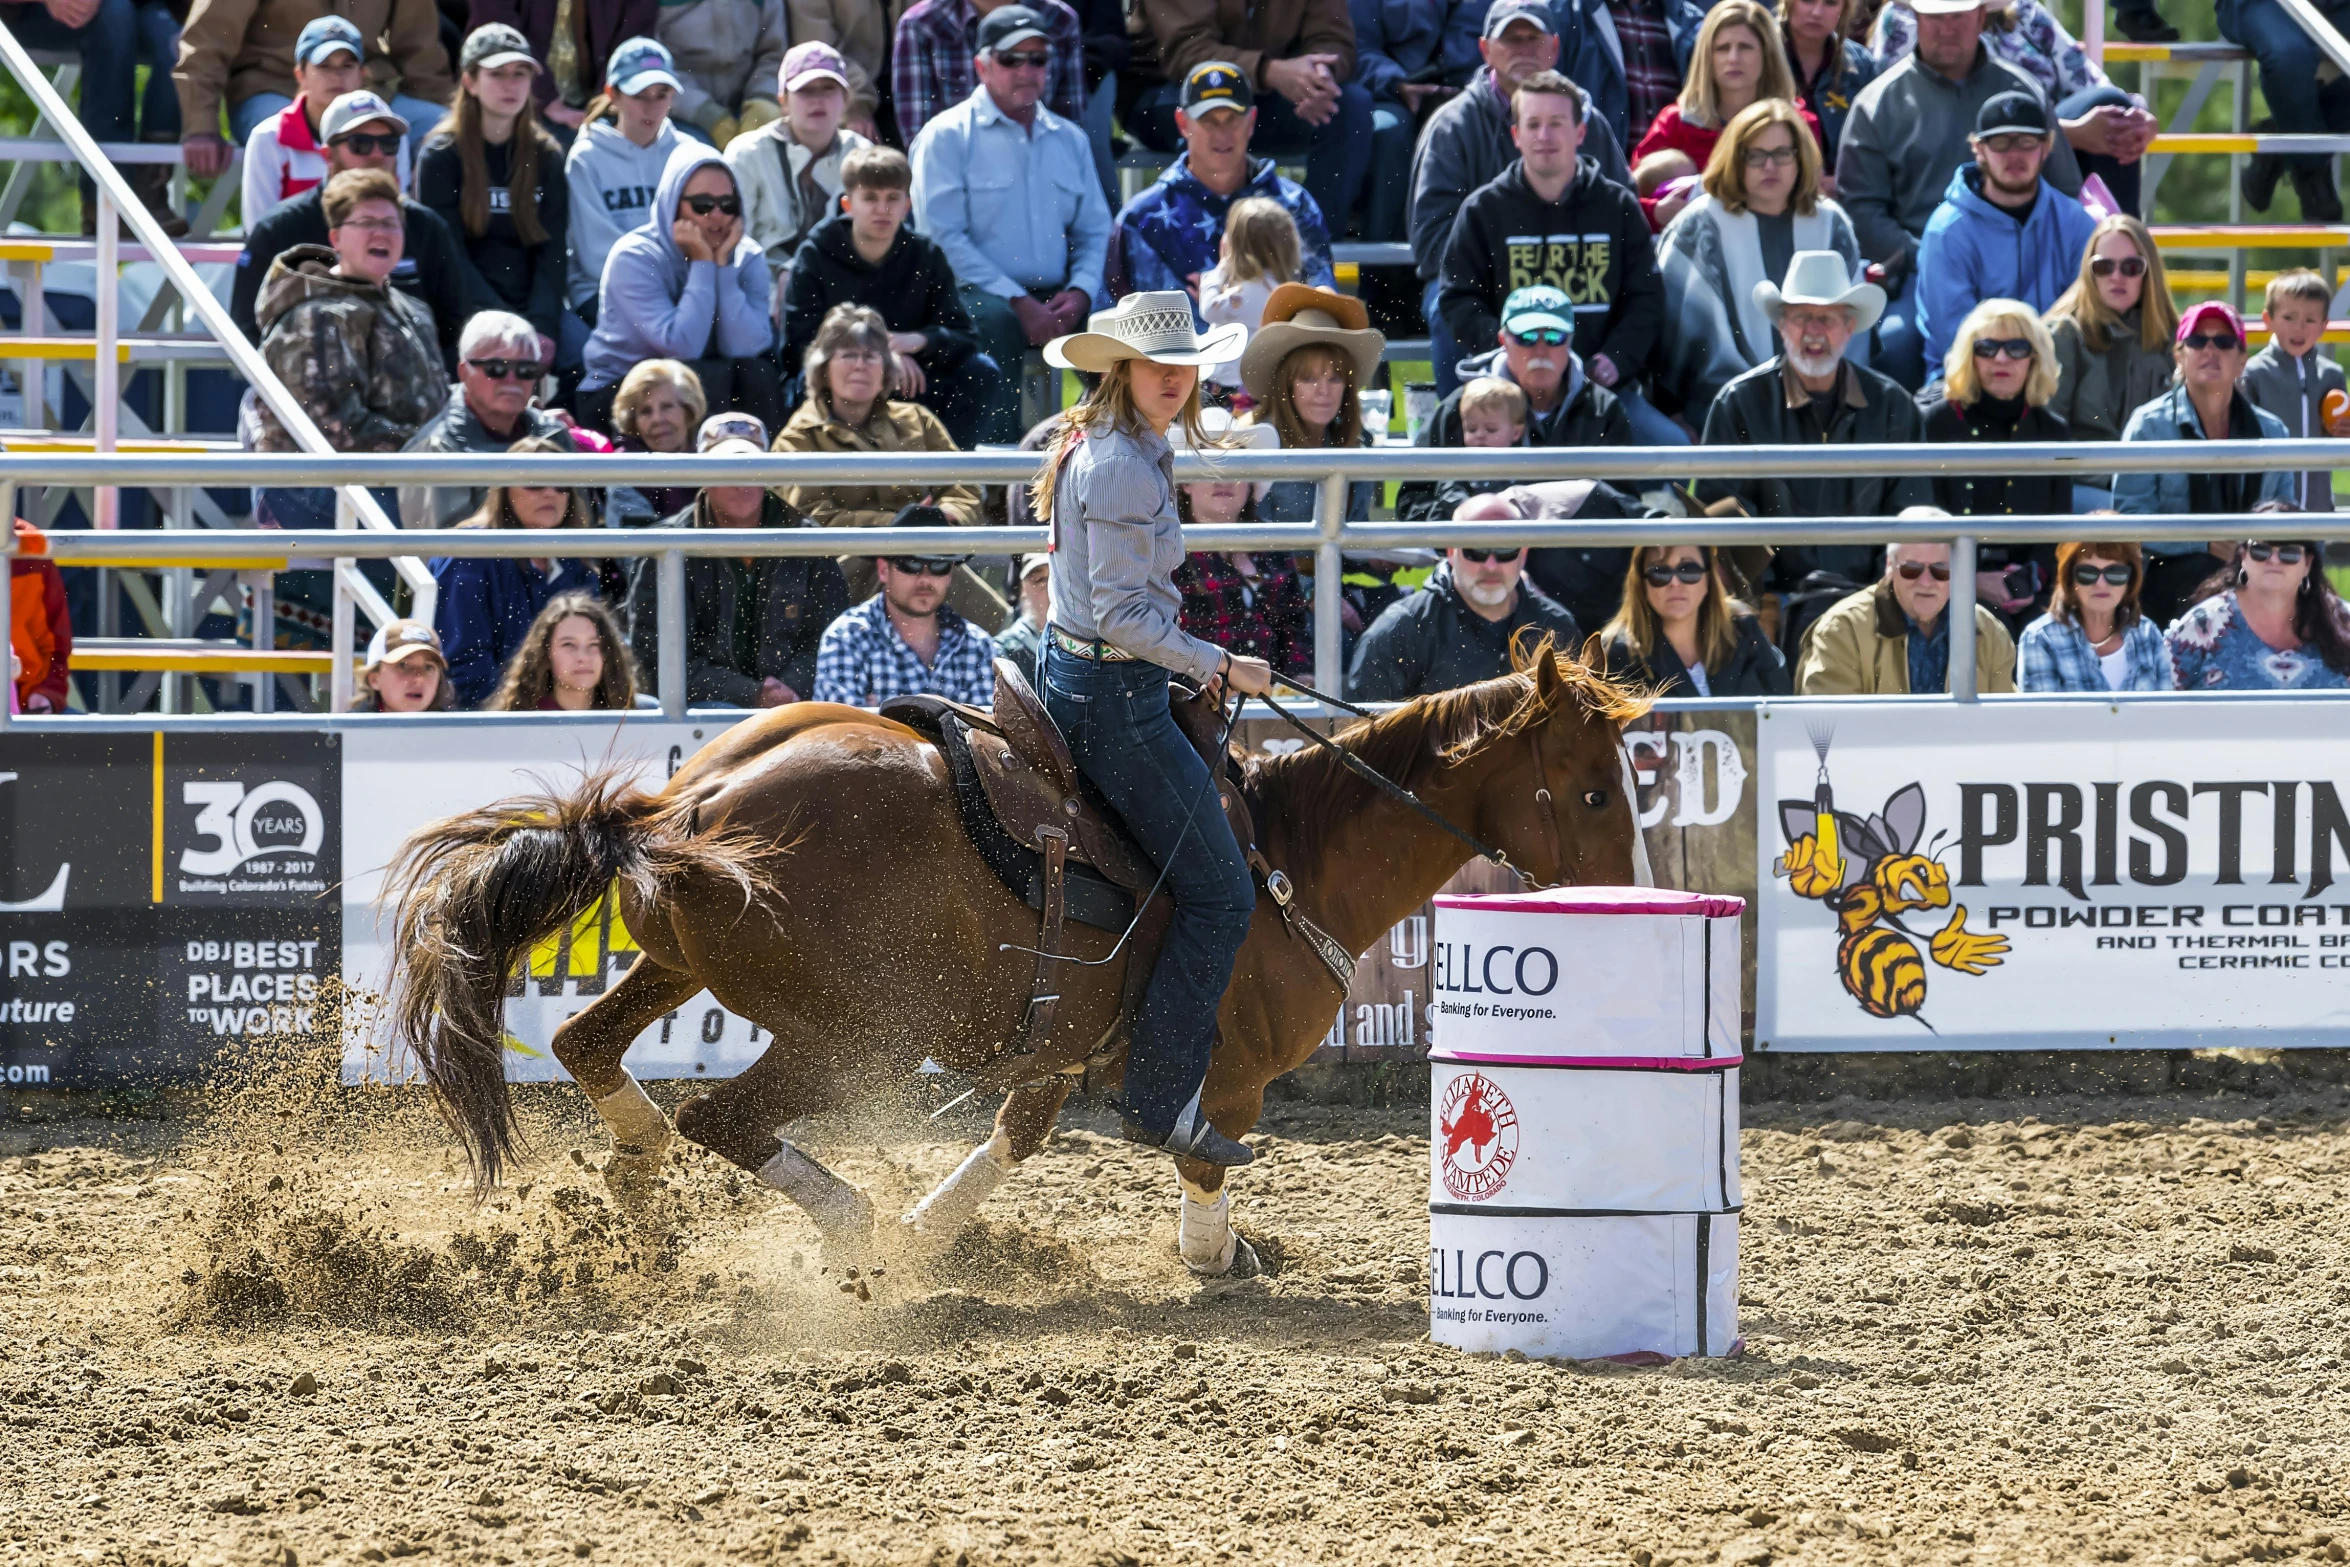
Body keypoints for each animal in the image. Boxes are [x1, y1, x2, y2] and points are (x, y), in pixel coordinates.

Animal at [380, 643, 1654, 1278]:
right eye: (1595, 789)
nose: (1631, 898)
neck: (1288, 856)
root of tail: (687, 802)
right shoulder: (1221, 1071)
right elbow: (1197, 1153)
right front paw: (1215, 1254)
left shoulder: (1064, 1044)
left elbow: (1019, 1133)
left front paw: (946, 1228)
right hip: (854, 1033)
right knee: (722, 1117)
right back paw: (848, 1225)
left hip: (686, 968)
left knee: (591, 1044)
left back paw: (639, 1183)